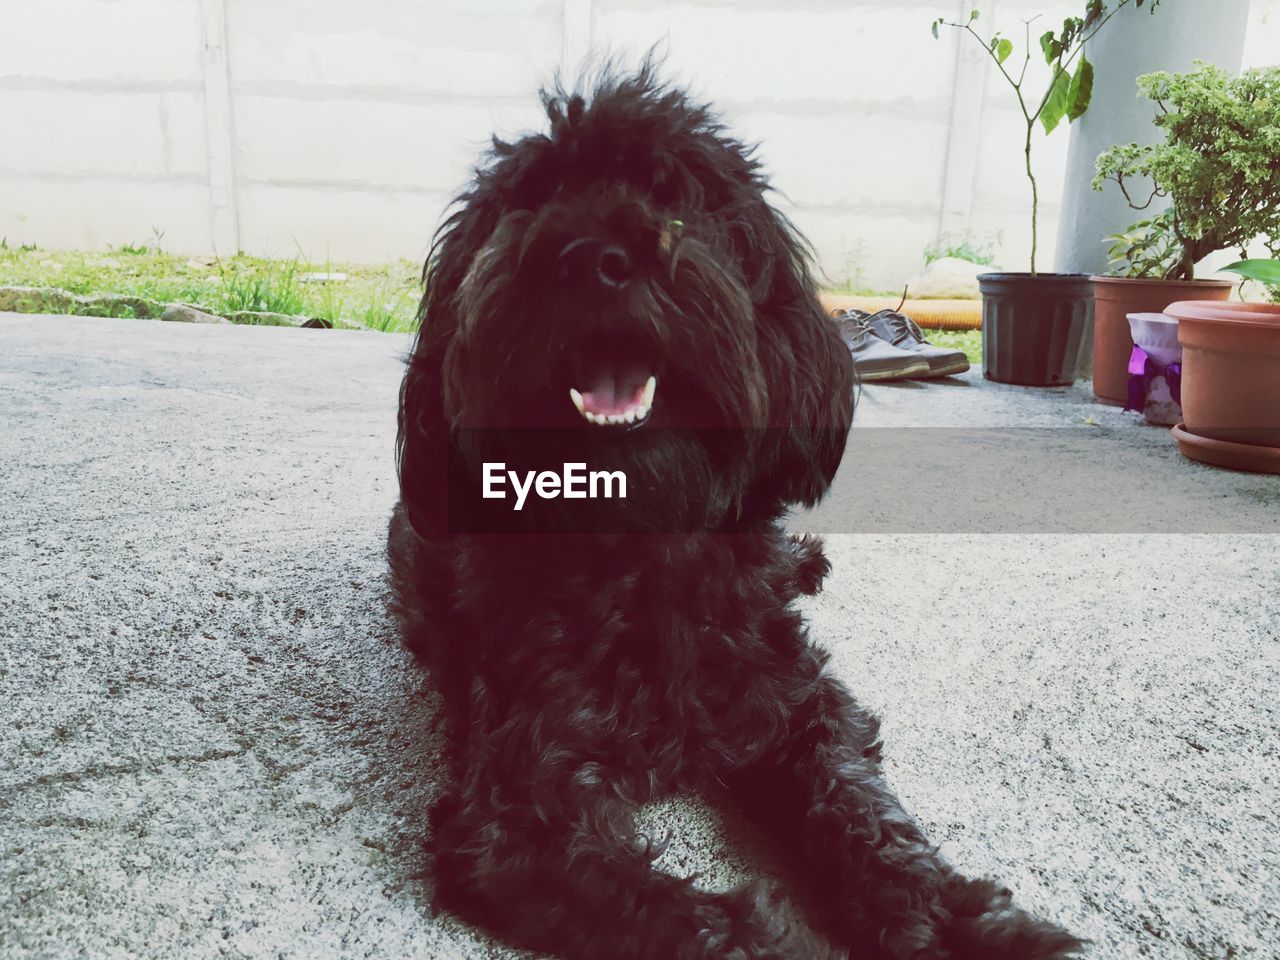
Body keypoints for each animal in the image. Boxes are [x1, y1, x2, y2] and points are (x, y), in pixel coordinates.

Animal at [389, 64, 1080, 957]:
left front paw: (947, 917)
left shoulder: (797, 700)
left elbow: (861, 806)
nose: (587, 256)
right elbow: (692, 919)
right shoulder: (519, 803)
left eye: (673, 192)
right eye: (529, 200)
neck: (642, 550)